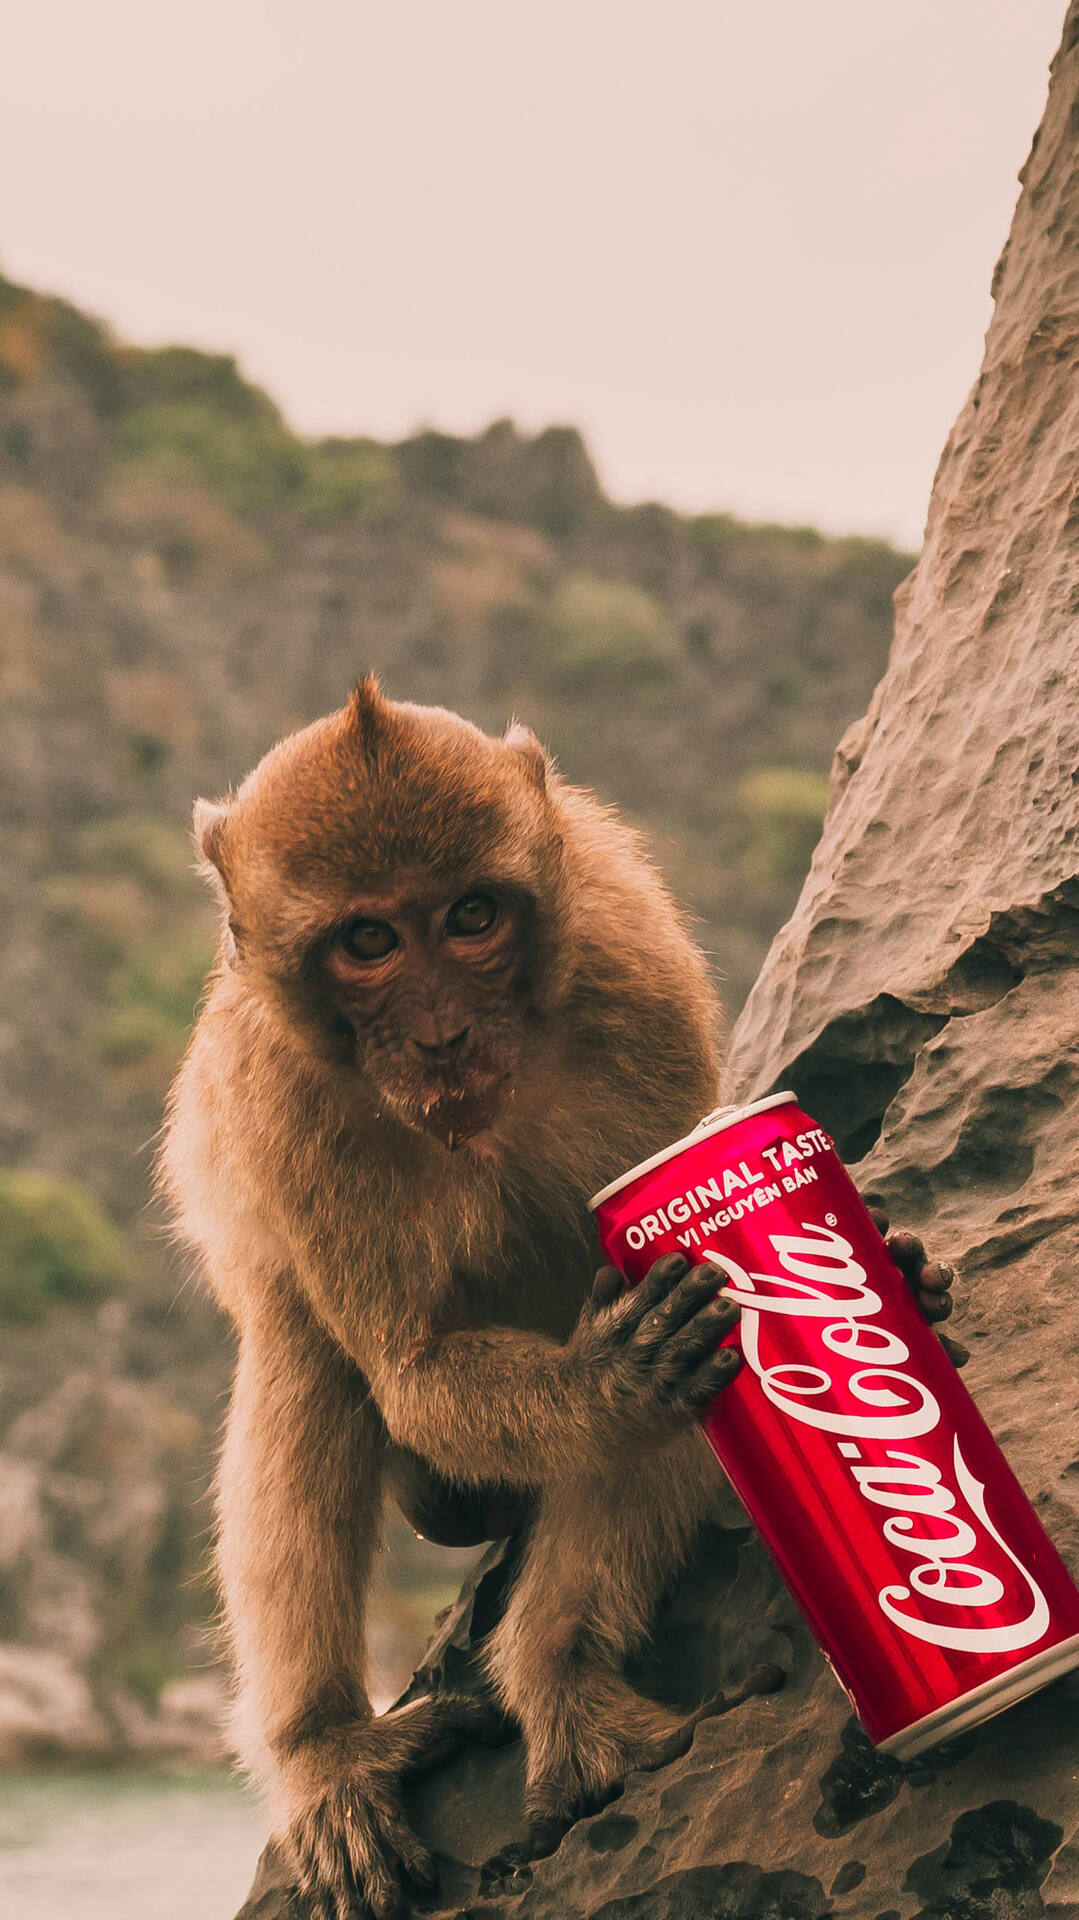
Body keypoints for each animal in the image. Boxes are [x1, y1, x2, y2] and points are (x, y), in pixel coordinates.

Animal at [157, 687, 948, 1920]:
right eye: (369, 942)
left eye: (471, 917)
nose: (443, 1034)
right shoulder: (284, 1103)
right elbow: (422, 1370)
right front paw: (613, 1375)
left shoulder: (638, 992)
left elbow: (700, 1348)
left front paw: (559, 1680)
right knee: (306, 1355)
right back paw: (327, 1752)